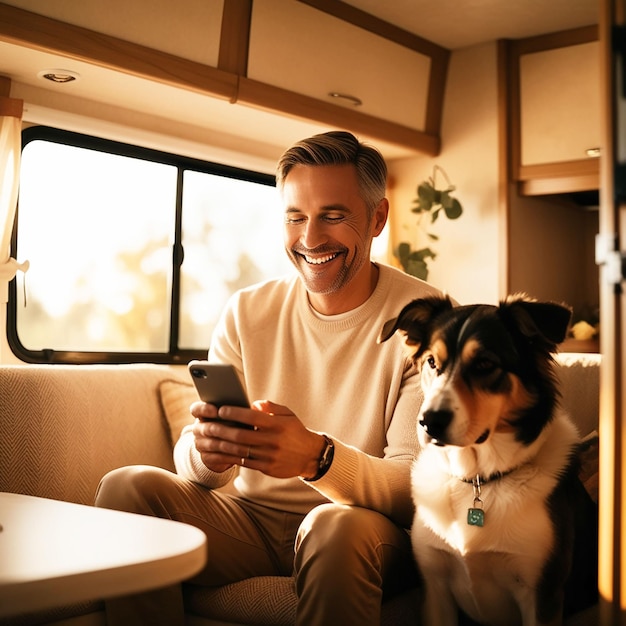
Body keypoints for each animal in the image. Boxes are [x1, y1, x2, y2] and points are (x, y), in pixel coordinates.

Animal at [376, 294, 596, 624]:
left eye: (484, 364)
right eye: (431, 362)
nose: (429, 422)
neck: (479, 478)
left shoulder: (542, 595)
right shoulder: (435, 589)